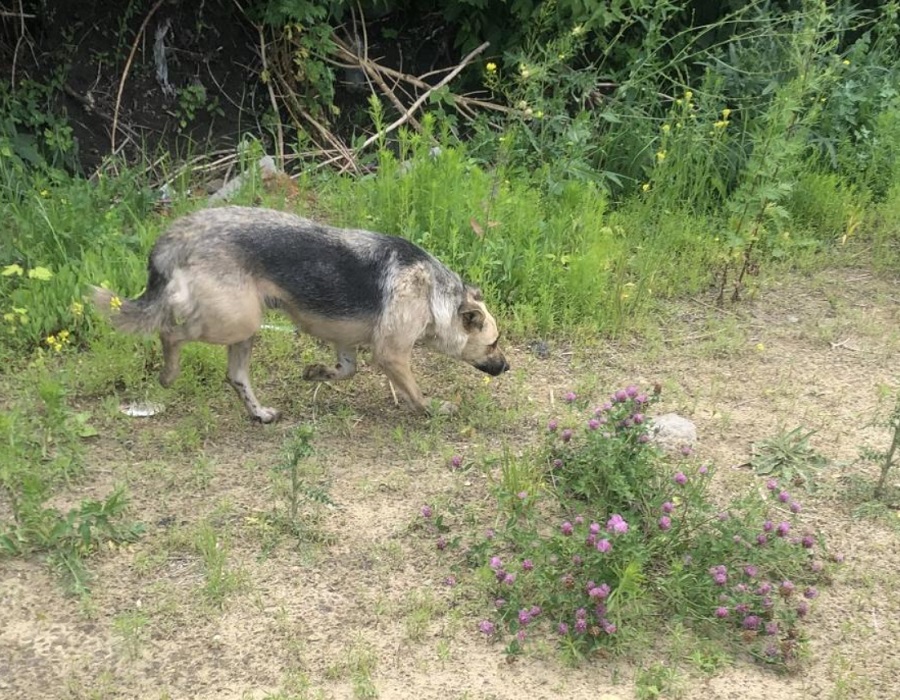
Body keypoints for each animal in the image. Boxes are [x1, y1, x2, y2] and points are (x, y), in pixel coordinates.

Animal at [96, 202, 512, 422]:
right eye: (494, 343)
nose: (507, 366)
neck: (434, 295)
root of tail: (180, 234)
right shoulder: (391, 354)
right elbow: (415, 392)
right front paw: (434, 408)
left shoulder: (347, 343)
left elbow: (346, 370)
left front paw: (317, 373)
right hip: (234, 321)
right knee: (171, 332)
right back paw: (168, 374)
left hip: (245, 327)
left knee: (236, 376)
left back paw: (260, 414)